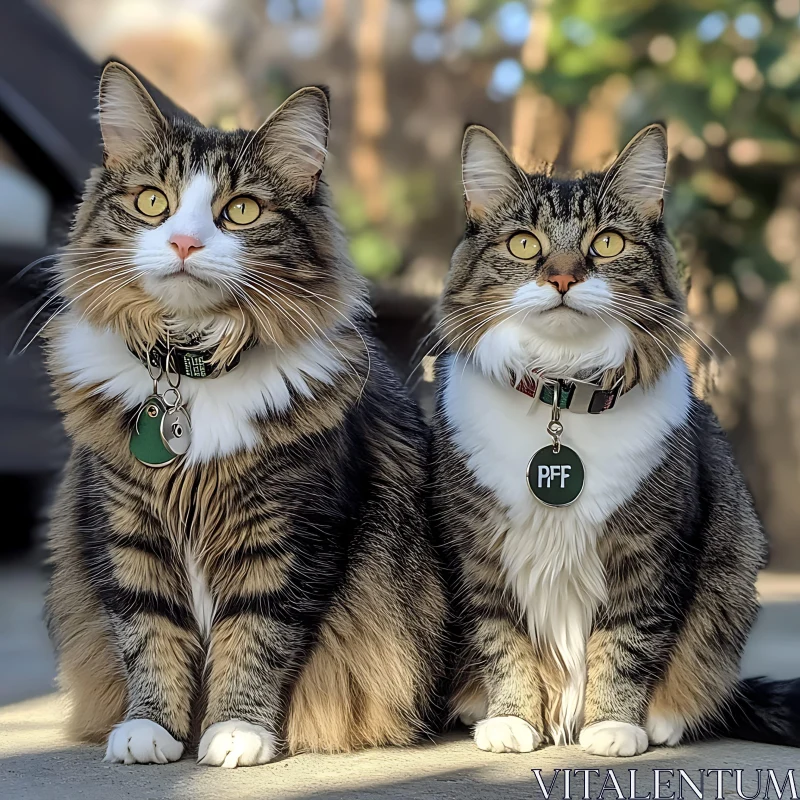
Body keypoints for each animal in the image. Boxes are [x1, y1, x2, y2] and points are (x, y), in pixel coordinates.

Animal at [43, 64, 446, 768]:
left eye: (241, 211)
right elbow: (147, 633)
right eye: (153, 202)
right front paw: (149, 730)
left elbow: (255, 637)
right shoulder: (127, 528)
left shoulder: (284, 536)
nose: (183, 242)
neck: (191, 374)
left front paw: (234, 732)